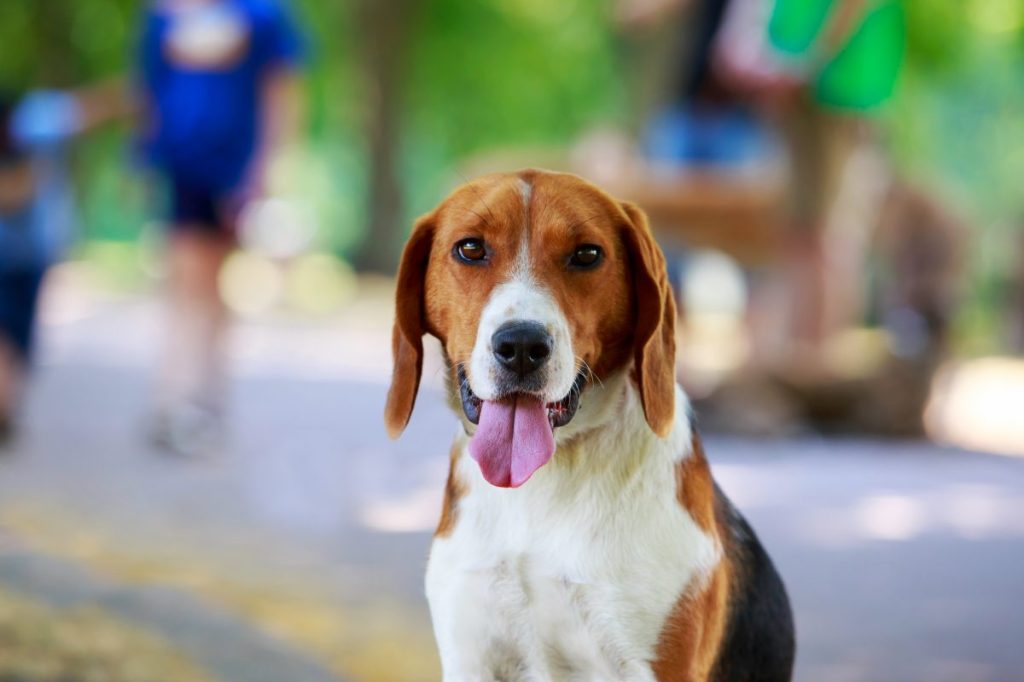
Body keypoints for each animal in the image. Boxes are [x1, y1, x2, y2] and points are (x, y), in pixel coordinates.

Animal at [385, 169, 790, 679]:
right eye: (471, 249)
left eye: (587, 255)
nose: (522, 346)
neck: (545, 479)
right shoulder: (470, 655)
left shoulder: (653, 666)